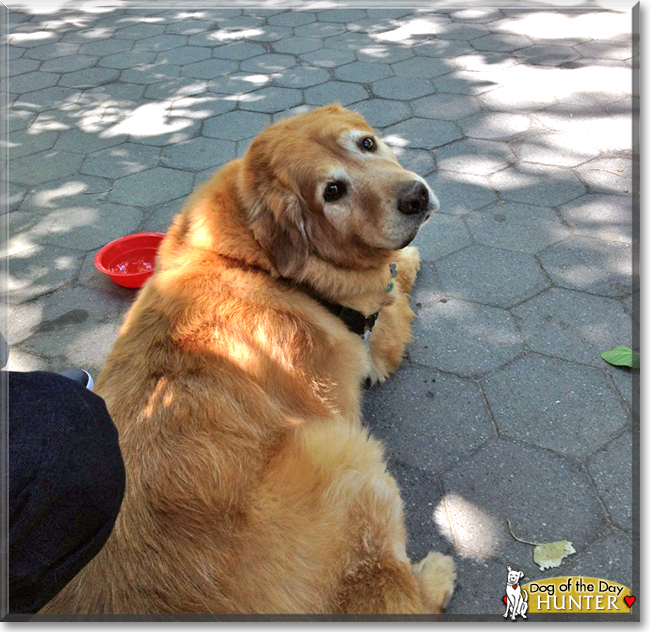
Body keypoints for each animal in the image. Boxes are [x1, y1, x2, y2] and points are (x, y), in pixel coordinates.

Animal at [43, 105, 454, 616]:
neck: (256, 258)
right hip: (344, 453)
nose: (415, 197)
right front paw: (409, 261)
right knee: (394, 595)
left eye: (367, 144)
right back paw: (436, 576)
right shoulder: (374, 334)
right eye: (332, 192)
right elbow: (398, 284)